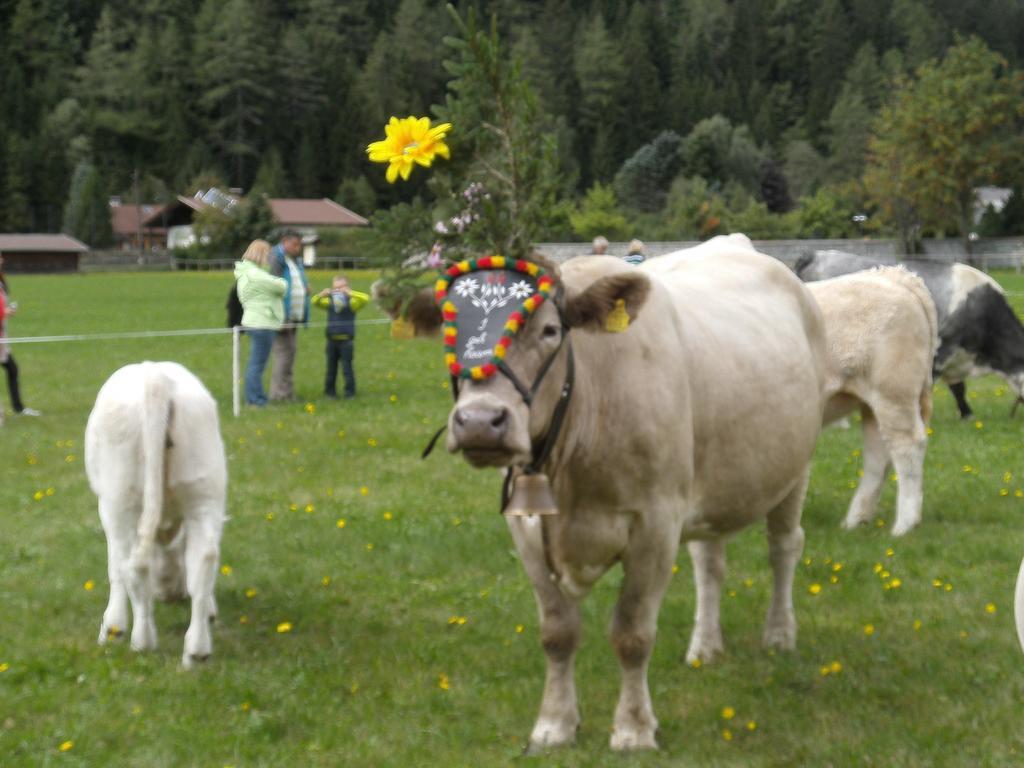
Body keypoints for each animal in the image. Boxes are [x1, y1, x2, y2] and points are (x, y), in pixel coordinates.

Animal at [86, 364, 226, 671]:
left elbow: (116, 568)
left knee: (133, 565)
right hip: (203, 492)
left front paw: (113, 627)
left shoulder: (108, 510)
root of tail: (156, 377)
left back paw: (142, 640)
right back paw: (197, 650)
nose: (171, 596)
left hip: (120, 501)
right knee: (204, 559)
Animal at [802, 268, 937, 536]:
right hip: (873, 403)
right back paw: (856, 519)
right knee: (878, 454)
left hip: (893, 391)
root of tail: (896, 277)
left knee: (907, 446)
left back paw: (905, 524)